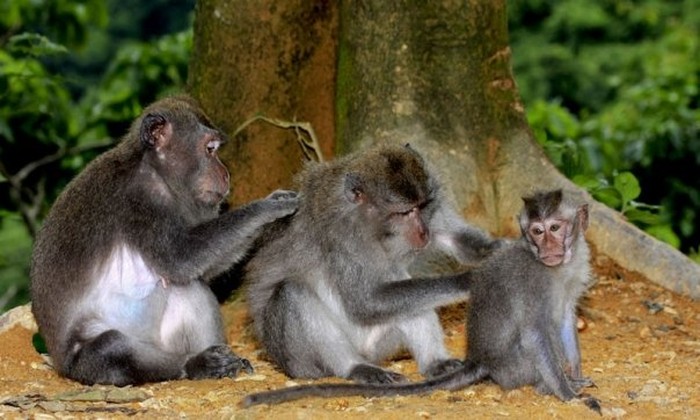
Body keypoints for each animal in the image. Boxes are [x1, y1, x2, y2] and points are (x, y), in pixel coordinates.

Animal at [30, 95, 298, 386]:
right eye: (210, 149)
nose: (225, 173)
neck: (155, 171)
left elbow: (200, 269)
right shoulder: (141, 201)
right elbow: (179, 260)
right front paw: (267, 207)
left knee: (190, 287)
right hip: (82, 366)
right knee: (110, 346)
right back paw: (194, 365)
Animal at [242, 189, 601, 413]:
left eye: (555, 227)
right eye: (538, 231)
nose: (548, 247)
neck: (558, 268)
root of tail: (480, 360)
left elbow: (565, 318)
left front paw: (575, 370)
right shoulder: (532, 281)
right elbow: (536, 333)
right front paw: (567, 393)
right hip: (514, 367)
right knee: (296, 292)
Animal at [244, 143, 501, 389]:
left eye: (422, 206)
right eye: (404, 213)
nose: (424, 232)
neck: (374, 228)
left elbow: (459, 242)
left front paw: (500, 250)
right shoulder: (343, 237)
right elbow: (366, 302)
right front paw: (468, 280)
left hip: (380, 344)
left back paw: (435, 363)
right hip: (299, 361)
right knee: (293, 292)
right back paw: (355, 367)